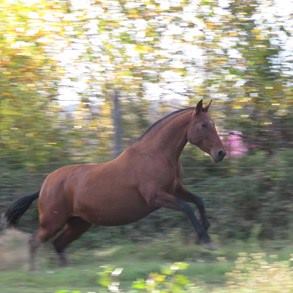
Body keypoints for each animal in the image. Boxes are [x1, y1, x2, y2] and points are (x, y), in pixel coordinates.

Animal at [3, 99, 225, 268]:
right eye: (204, 125)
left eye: (213, 123)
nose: (221, 153)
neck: (155, 155)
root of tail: (44, 186)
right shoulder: (156, 197)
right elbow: (187, 208)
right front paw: (205, 240)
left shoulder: (175, 189)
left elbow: (198, 201)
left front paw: (205, 232)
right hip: (52, 222)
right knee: (34, 242)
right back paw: (34, 272)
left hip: (79, 223)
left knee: (58, 244)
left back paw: (64, 269)